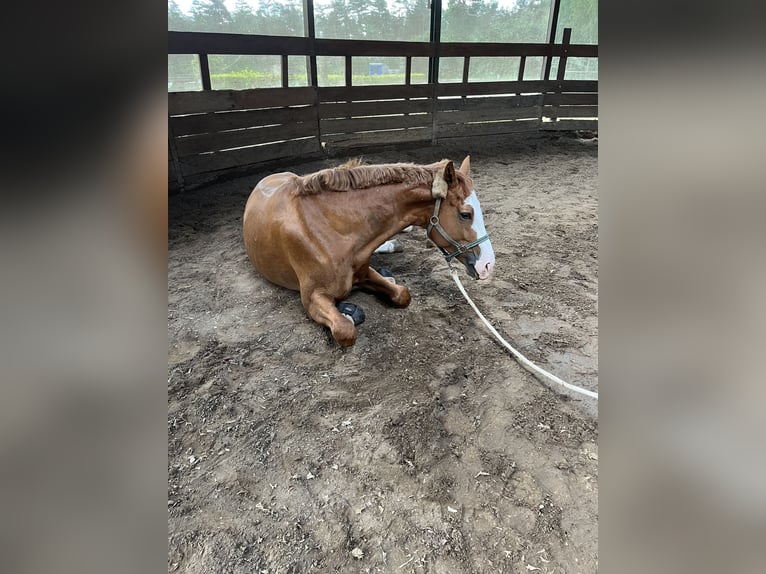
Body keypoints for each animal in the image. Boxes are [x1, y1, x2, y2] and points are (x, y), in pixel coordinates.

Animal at [244, 155, 498, 348]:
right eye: (465, 214)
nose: (488, 264)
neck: (331, 230)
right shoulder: (311, 298)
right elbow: (346, 330)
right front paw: (348, 313)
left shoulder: (365, 272)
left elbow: (403, 294)